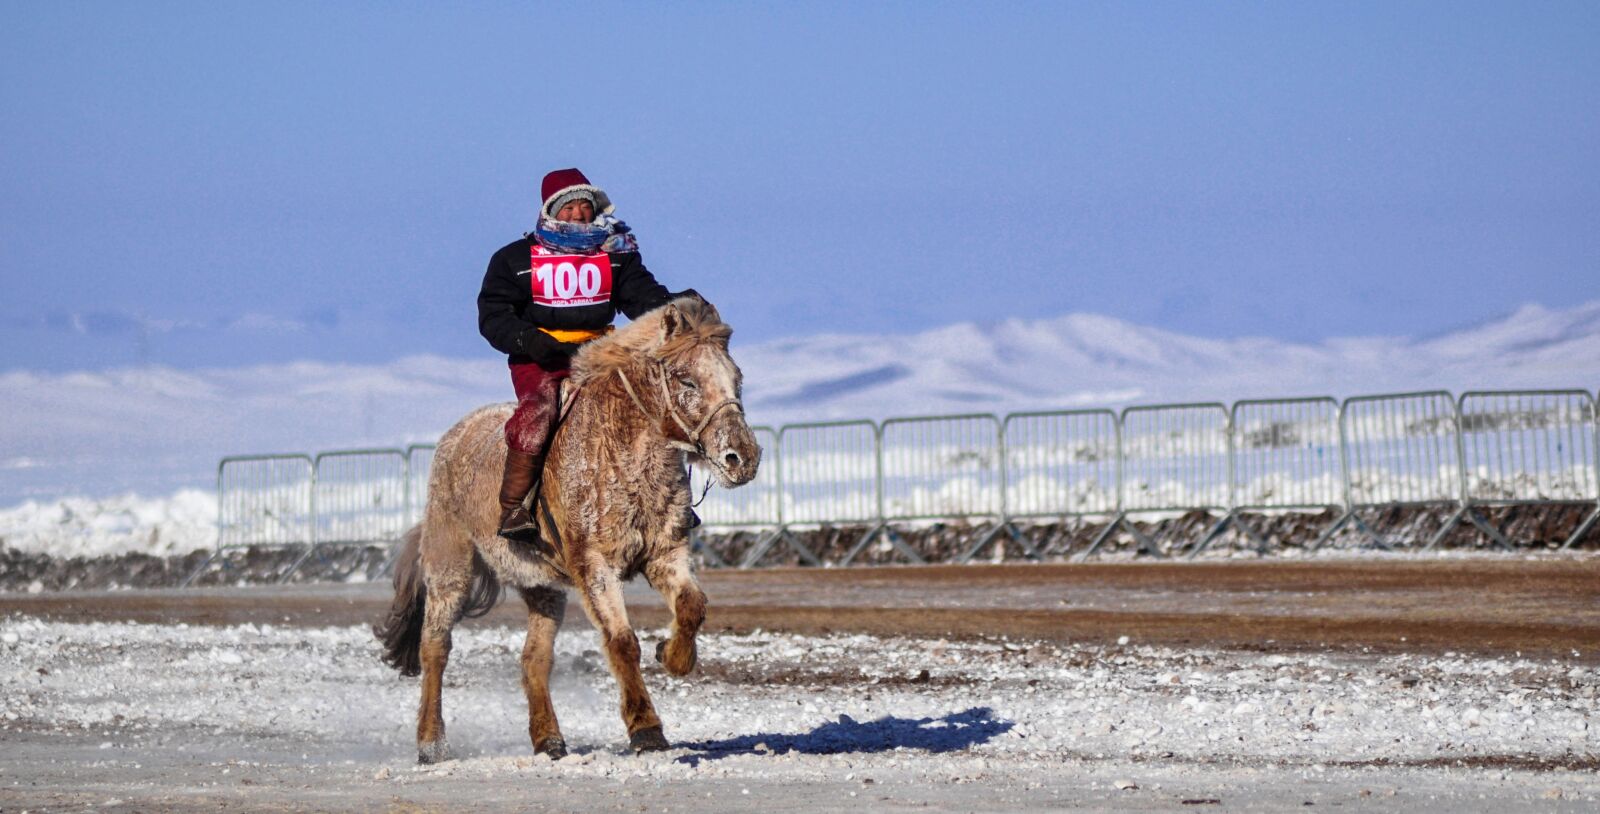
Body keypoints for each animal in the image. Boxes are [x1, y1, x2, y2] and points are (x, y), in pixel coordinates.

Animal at [374, 296, 762, 763]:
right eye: (686, 378)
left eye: (737, 378)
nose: (742, 457)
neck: (621, 450)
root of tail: (454, 438)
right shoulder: (594, 566)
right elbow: (621, 640)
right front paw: (646, 730)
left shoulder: (665, 554)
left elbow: (691, 606)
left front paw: (671, 655)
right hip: (451, 567)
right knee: (435, 647)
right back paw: (432, 743)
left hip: (541, 587)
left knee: (533, 658)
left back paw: (549, 740)